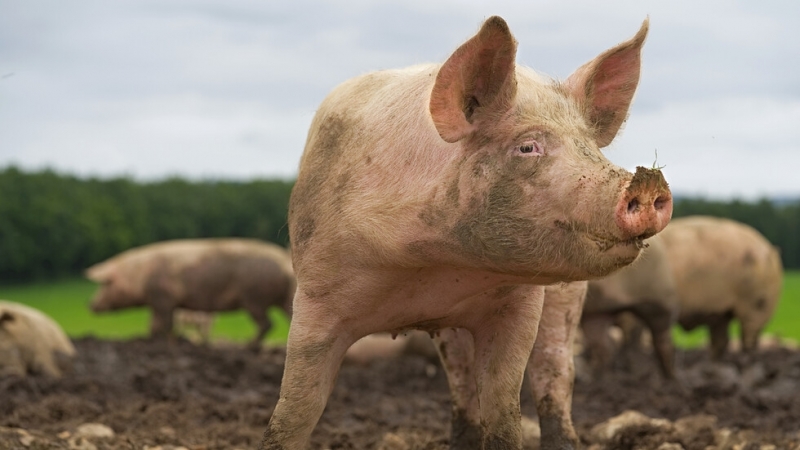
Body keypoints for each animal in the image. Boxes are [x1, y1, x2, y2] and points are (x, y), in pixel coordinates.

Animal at [85, 239, 296, 348]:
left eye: (105, 284)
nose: (90, 305)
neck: (139, 276)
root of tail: (285, 262)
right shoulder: (157, 302)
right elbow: (154, 324)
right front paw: (150, 340)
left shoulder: (163, 297)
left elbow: (165, 324)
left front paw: (168, 342)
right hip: (284, 298)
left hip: (254, 298)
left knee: (267, 324)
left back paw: (248, 346)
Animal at [580, 236, 680, 380]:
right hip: (598, 314)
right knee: (605, 347)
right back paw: (601, 379)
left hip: (660, 300)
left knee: (662, 342)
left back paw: (671, 379)